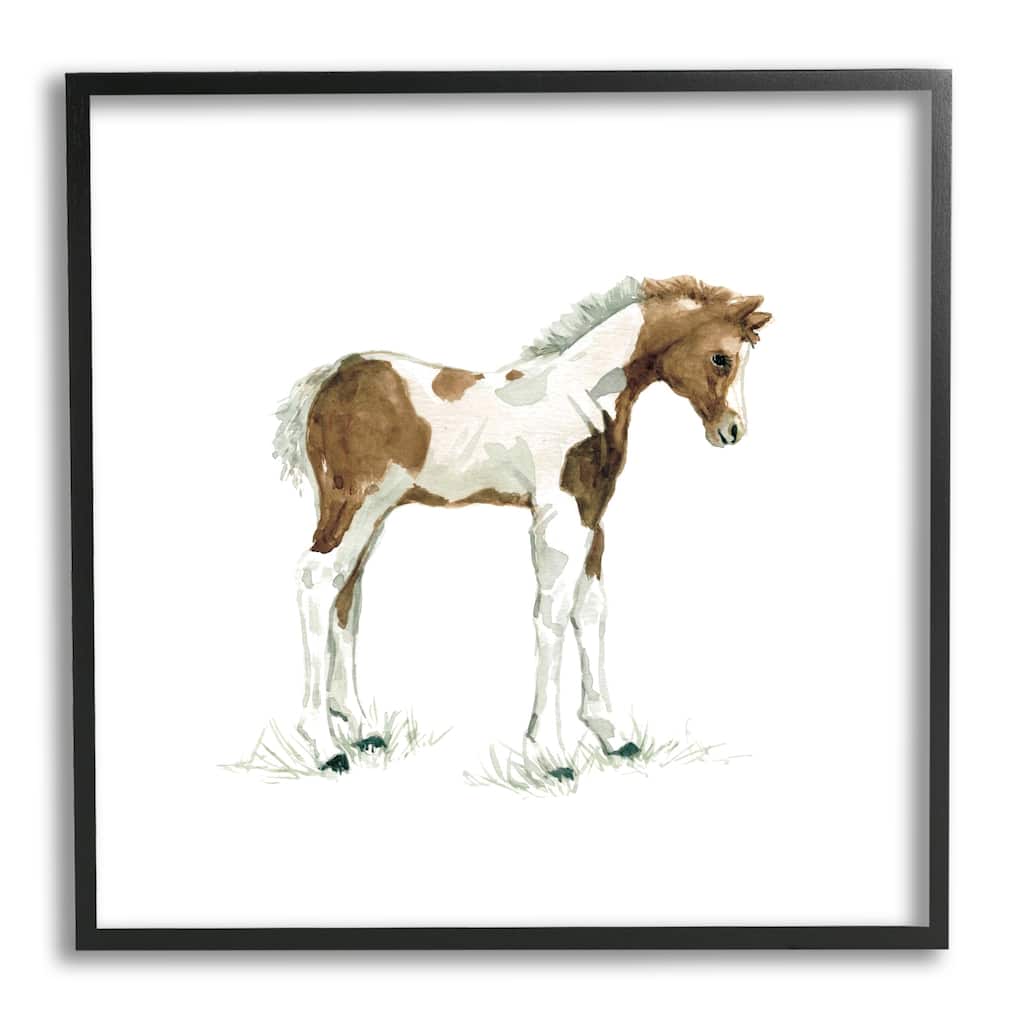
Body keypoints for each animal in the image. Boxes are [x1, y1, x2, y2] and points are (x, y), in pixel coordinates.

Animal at [273, 274, 771, 775]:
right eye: (721, 358)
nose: (732, 431)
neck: (582, 396)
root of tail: (328, 379)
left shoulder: (592, 516)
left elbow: (591, 610)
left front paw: (613, 736)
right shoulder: (557, 516)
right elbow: (552, 613)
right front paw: (549, 751)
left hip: (374, 513)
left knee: (347, 591)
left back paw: (361, 728)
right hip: (354, 505)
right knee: (317, 580)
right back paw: (324, 745)